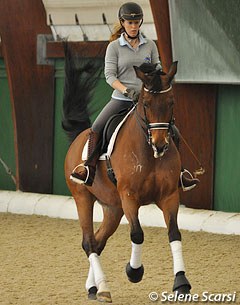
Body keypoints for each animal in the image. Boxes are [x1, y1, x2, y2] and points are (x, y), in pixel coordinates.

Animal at [62, 51, 190, 300]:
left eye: (171, 102)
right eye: (146, 103)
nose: (160, 145)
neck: (149, 153)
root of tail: (80, 137)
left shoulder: (169, 196)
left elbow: (174, 234)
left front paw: (181, 283)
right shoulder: (129, 196)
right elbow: (137, 234)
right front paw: (134, 271)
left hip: (113, 208)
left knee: (98, 241)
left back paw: (93, 288)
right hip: (83, 198)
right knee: (89, 243)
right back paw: (103, 287)